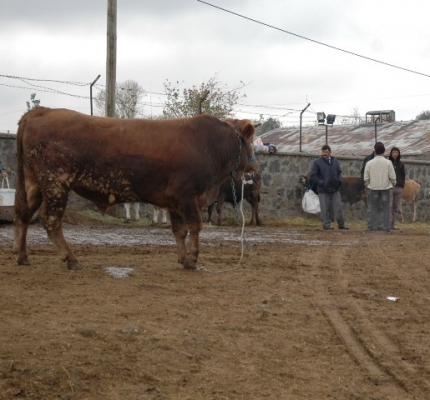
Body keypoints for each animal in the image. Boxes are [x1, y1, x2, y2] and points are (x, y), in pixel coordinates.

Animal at [13, 108, 256, 270]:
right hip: (56, 185)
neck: (210, 145)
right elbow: (195, 226)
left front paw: (183, 258)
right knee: (50, 220)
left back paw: (22, 256)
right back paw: (71, 259)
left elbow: (179, 231)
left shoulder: (174, 201)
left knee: (22, 215)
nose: (254, 168)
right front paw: (193, 259)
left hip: (34, 186)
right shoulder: (187, 197)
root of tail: (44, 111)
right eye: (251, 141)